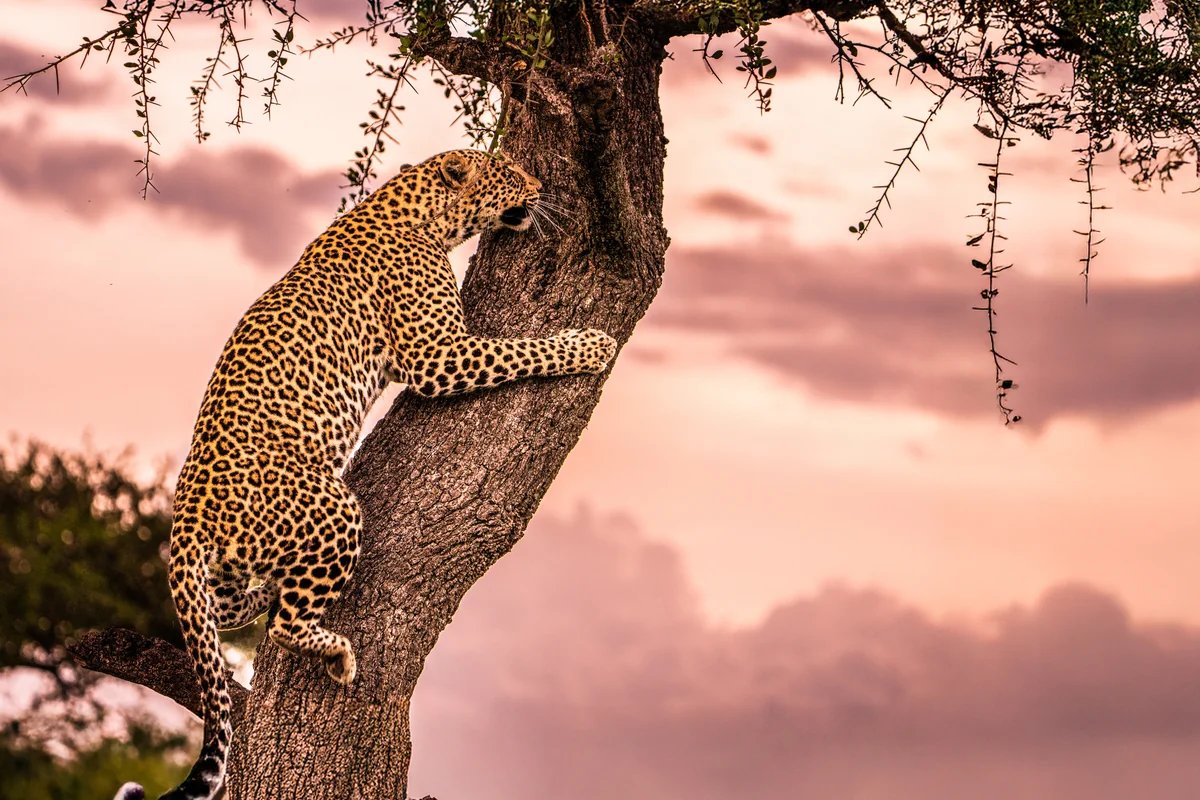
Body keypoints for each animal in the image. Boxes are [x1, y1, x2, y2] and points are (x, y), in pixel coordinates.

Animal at [115, 149, 617, 800]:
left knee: (231, 610)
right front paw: (590, 344)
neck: (419, 208)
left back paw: (264, 592)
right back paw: (337, 654)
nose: (539, 184)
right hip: (333, 508)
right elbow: (521, 351)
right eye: (507, 171)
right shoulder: (438, 355)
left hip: (226, 570)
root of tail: (187, 521)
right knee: (286, 624)